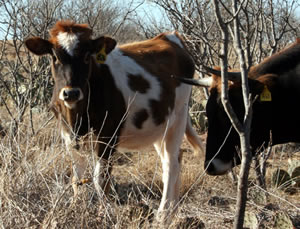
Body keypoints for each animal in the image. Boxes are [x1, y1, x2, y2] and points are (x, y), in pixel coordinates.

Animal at [25, 21, 204, 220]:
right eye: (55, 57)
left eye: (87, 56)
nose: (71, 93)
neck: (77, 117)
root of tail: (169, 37)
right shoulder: (68, 136)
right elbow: (76, 178)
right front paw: (75, 208)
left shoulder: (108, 135)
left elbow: (100, 179)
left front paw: (105, 214)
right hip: (159, 126)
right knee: (173, 160)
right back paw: (173, 212)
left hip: (179, 116)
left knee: (171, 164)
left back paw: (162, 214)